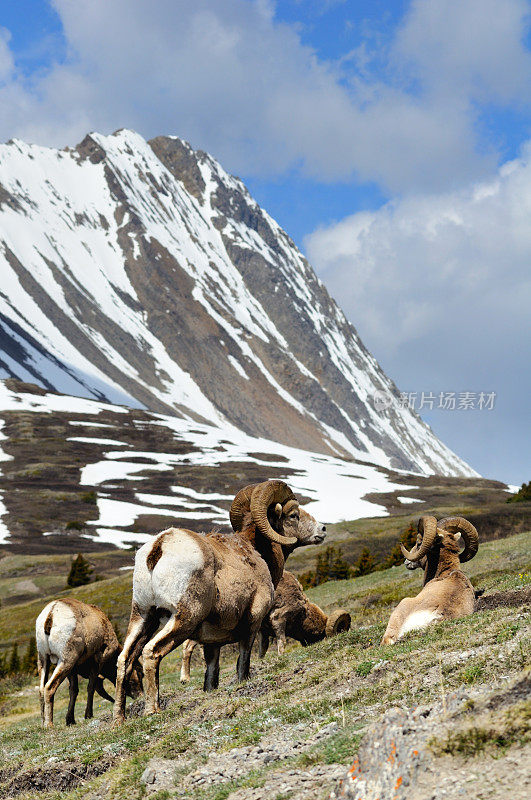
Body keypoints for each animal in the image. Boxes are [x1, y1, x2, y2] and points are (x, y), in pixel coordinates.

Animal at [35, 596, 143, 728]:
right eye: (137, 675)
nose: (140, 696)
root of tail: (51, 614)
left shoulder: (73, 670)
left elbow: (74, 691)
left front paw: (70, 720)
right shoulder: (98, 661)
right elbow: (90, 687)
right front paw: (88, 715)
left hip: (43, 659)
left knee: (41, 689)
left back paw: (43, 723)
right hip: (66, 661)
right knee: (49, 687)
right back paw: (49, 724)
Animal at [114, 482, 326, 724]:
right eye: (294, 515)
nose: (323, 529)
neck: (257, 552)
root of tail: (159, 547)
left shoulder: (211, 642)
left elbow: (211, 675)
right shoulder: (252, 624)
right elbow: (243, 660)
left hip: (143, 616)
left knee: (125, 659)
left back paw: (119, 720)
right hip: (183, 619)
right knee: (151, 651)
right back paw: (152, 710)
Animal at [181, 568, 352, 680]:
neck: (302, 613)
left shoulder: (263, 632)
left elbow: (262, 650)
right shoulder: (279, 620)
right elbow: (281, 642)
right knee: (189, 646)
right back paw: (186, 679)